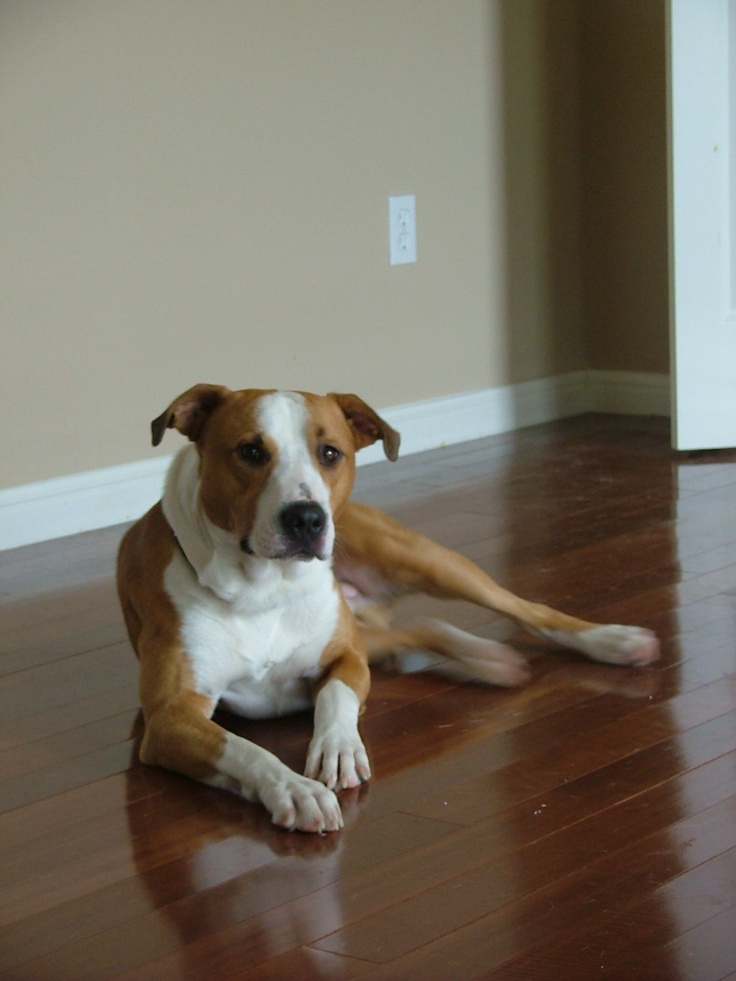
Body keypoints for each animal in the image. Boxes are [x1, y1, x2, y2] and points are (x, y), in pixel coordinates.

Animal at [118, 386, 660, 832]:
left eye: (330, 453)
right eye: (250, 451)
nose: (307, 518)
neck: (265, 591)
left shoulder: (346, 658)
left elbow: (335, 699)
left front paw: (338, 749)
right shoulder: (170, 718)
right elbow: (248, 751)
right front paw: (295, 790)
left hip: (425, 562)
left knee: (528, 608)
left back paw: (615, 640)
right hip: (382, 621)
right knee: (420, 630)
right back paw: (487, 660)